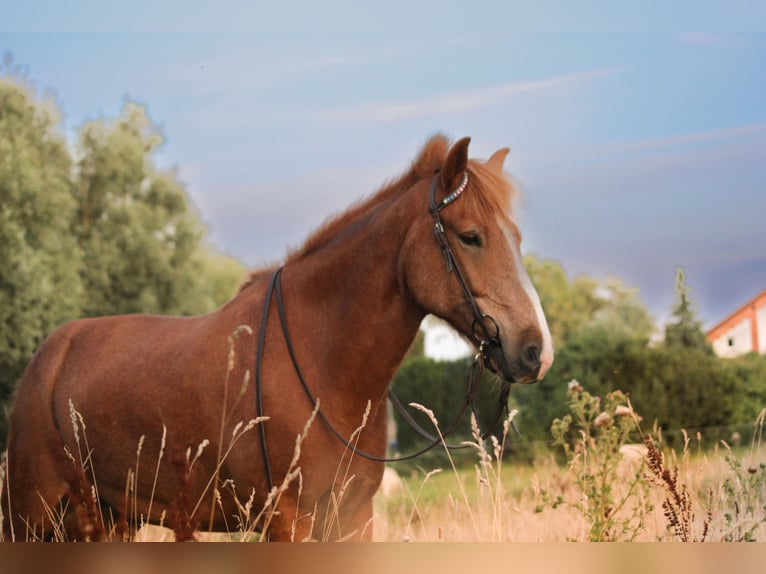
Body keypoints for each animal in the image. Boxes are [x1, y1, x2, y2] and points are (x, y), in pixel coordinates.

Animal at [1, 134, 553, 541]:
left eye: (518, 239)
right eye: (470, 236)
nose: (535, 350)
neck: (322, 363)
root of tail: (48, 355)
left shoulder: (353, 519)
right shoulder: (287, 521)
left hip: (108, 518)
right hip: (29, 516)